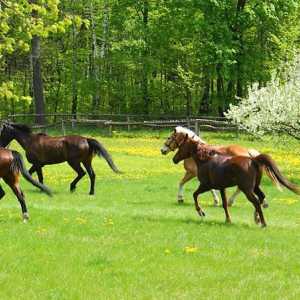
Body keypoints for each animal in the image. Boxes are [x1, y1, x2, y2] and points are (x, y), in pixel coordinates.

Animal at [171, 135, 300, 226]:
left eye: (181, 147)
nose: (174, 159)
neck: (206, 160)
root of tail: (253, 160)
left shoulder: (206, 185)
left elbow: (195, 195)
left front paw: (201, 212)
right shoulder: (221, 188)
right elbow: (224, 204)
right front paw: (228, 220)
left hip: (247, 189)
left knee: (256, 201)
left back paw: (263, 223)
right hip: (255, 187)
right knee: (261, 197)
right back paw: (257, 218)